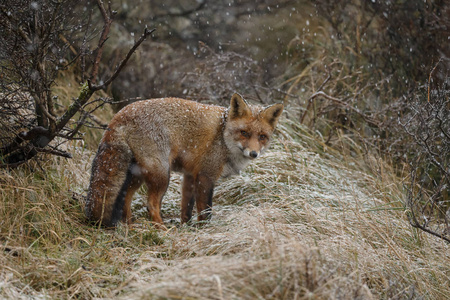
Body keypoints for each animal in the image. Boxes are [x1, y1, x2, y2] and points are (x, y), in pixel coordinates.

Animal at [85, 94, 284, 227]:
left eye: (262, 137)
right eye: (244, 133)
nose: (253, 153)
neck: (223, 135)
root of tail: (119, 114)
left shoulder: (189, 176)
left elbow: (186, 209)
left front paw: (186, 228)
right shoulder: (205, 176)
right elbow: (205, 210)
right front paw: (204, 231)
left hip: (138, 175)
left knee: (126, 198)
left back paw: (130, 225)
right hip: (161, 175)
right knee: (151, 205)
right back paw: (162, 230)